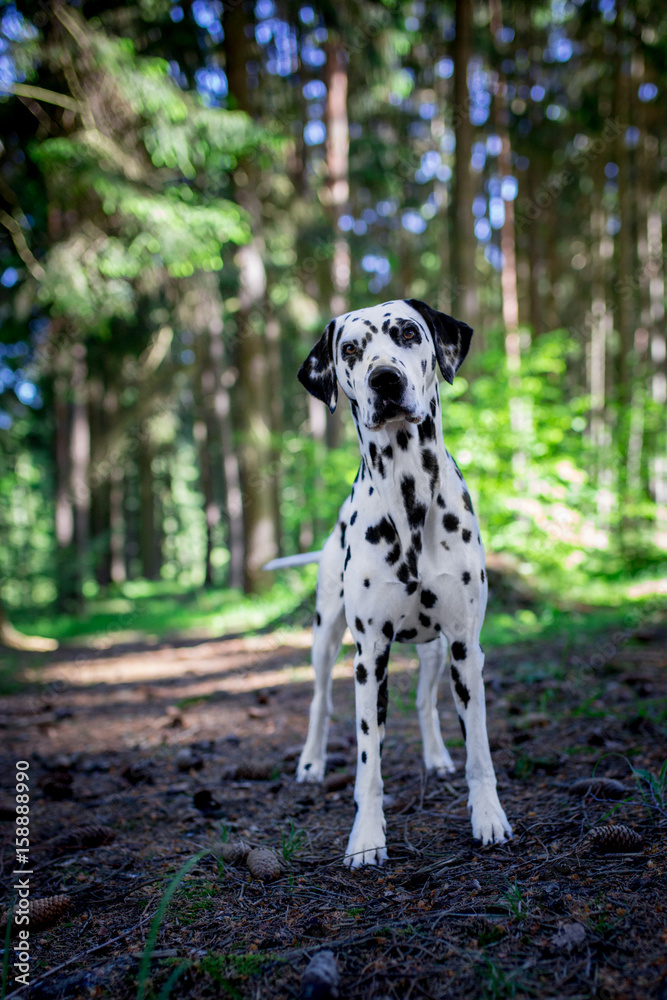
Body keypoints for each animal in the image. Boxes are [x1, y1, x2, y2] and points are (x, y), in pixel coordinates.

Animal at [264, 298, 512, 868]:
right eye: (351, 349)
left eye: (408, 334)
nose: (385, 379)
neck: (410, 493)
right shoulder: (369, 654)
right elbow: (368, 762)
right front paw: (366, 838)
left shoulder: (466, 645)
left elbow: (479, 750)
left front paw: (488, 817)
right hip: (326, 635)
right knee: (320, 702)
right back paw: (311, 764)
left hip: (436, 650)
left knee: (424, 701)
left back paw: (437, 756)